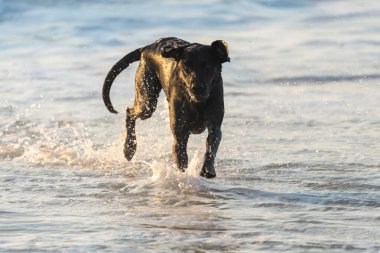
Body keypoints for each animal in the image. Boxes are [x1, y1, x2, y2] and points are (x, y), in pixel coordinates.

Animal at [102, 37, 230, 179]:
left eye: (208, 67)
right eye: (186, 67)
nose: (196, 87)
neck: (197, 103)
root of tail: (146, 48)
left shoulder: (215, 124)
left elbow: (211, 146)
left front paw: (208, 169)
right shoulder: (180, 134)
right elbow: (181, 158)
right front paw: (184, 177)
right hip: (147, 99)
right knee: (130, 112)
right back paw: (129, 148)